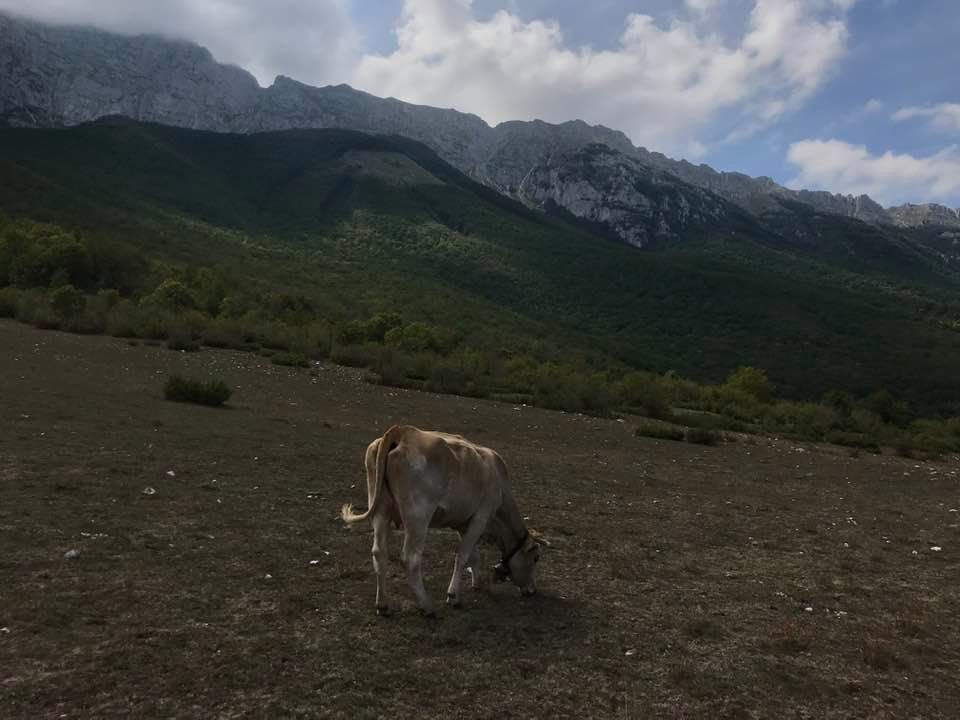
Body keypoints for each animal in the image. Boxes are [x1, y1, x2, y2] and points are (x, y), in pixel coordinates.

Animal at [340, 425, 541, 617]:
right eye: (536, 558)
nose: (532, 590)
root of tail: (403, 431)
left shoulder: (463, 523)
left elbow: (474, 555)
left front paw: (478, 583)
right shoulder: (481, 518)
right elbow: (463, 556)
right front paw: (453, 596)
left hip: (381, 510)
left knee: (379, 553)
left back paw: (383, 605)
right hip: (418, 517)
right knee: (411, 559)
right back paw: (426, 606)